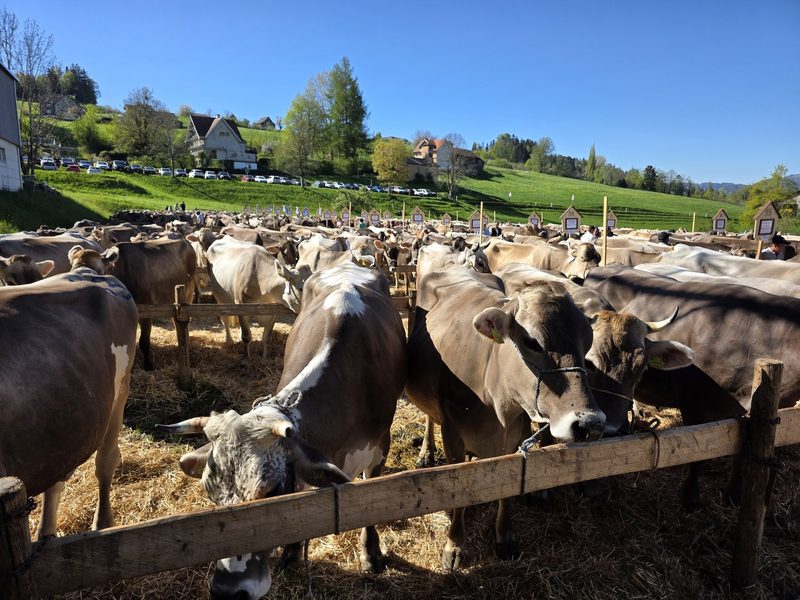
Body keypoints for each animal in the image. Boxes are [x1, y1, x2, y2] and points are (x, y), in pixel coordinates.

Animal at [0, 268, 137, 539]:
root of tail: (91, 273)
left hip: (120, 389)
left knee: (105, 462)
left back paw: (102, 524)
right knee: (56, 479)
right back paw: (46, 535)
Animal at [68, 238, 196, 370]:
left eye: (98, 273)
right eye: (73, 269)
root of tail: (185, 241)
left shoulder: (146, 310)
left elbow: (144, 341)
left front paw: (148, 365)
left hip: (188, 292)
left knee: (184, 320)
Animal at [160, 262, 406, 599]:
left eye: (270, 491)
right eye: (211, 493)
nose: (227, 591)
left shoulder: (380, 444)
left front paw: (371, 553)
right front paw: (291, 552)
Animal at [406, 261, 606, 569]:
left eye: (587, 343)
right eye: (532, 341)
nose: (589, 423)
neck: (495, 401)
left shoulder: (515, 435)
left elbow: (506, 489)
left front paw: (504, 537)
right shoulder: (452, 435)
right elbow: (458, 491)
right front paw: (454, 545)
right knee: (429, 417)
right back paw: (426, 453)